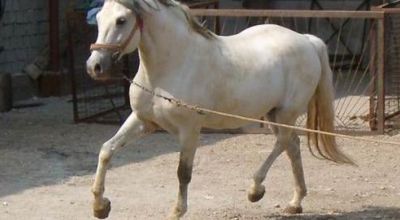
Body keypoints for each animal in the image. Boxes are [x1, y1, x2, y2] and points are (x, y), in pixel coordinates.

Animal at [86, 0, 352, 219]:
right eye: (98, 18)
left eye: (121, 20)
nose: (94, 66)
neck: (172, 65)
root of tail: (307, 40)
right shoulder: (143, 121)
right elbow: (106, 150)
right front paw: (100, 206)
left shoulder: (189, 130)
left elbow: (183, 172)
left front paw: (177, 211)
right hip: (273, 113)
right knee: (292, 146)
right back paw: (295, 203)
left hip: (286, 112)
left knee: (283, 143)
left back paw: (255, 190)